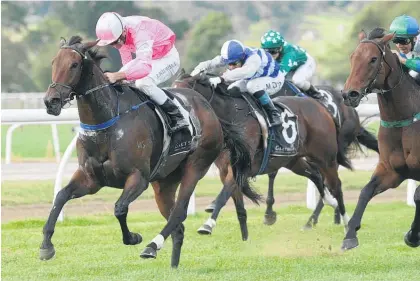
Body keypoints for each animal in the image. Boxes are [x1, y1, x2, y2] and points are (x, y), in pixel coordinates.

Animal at [40, 36, 253, 266]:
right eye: (53, 62)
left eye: (74, 64)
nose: (50, 101)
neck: (108, 122)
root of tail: (209, 108)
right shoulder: (91, 179)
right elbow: (60, 197)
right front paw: (46, 246)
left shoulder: (138, 178)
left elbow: (119, 208)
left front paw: (133, 237)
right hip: (164, 182)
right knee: (177, 226)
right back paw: (173, 265)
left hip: (196, 166)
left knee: (179, 213)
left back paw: (152, 246)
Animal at [173, 73, 352, 240]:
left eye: (183, 94)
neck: (233, 118)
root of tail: (322, 107)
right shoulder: (226, 170)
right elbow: (239, 207)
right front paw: (245, 239)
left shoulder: (240, 169)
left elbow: (224, 195)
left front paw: (208, 224)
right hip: (292, 160)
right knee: (315, 175)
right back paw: (329, 202)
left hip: (326, 157)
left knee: (336, 186)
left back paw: (346, 225)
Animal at [342, 27, 418, 248]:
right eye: (352, 57)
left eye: (373, 59)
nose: (349, 94)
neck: (404, 120)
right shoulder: (391, 171)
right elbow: (366, 191)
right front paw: (350, 234)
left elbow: (418, 196)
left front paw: (413, 235)